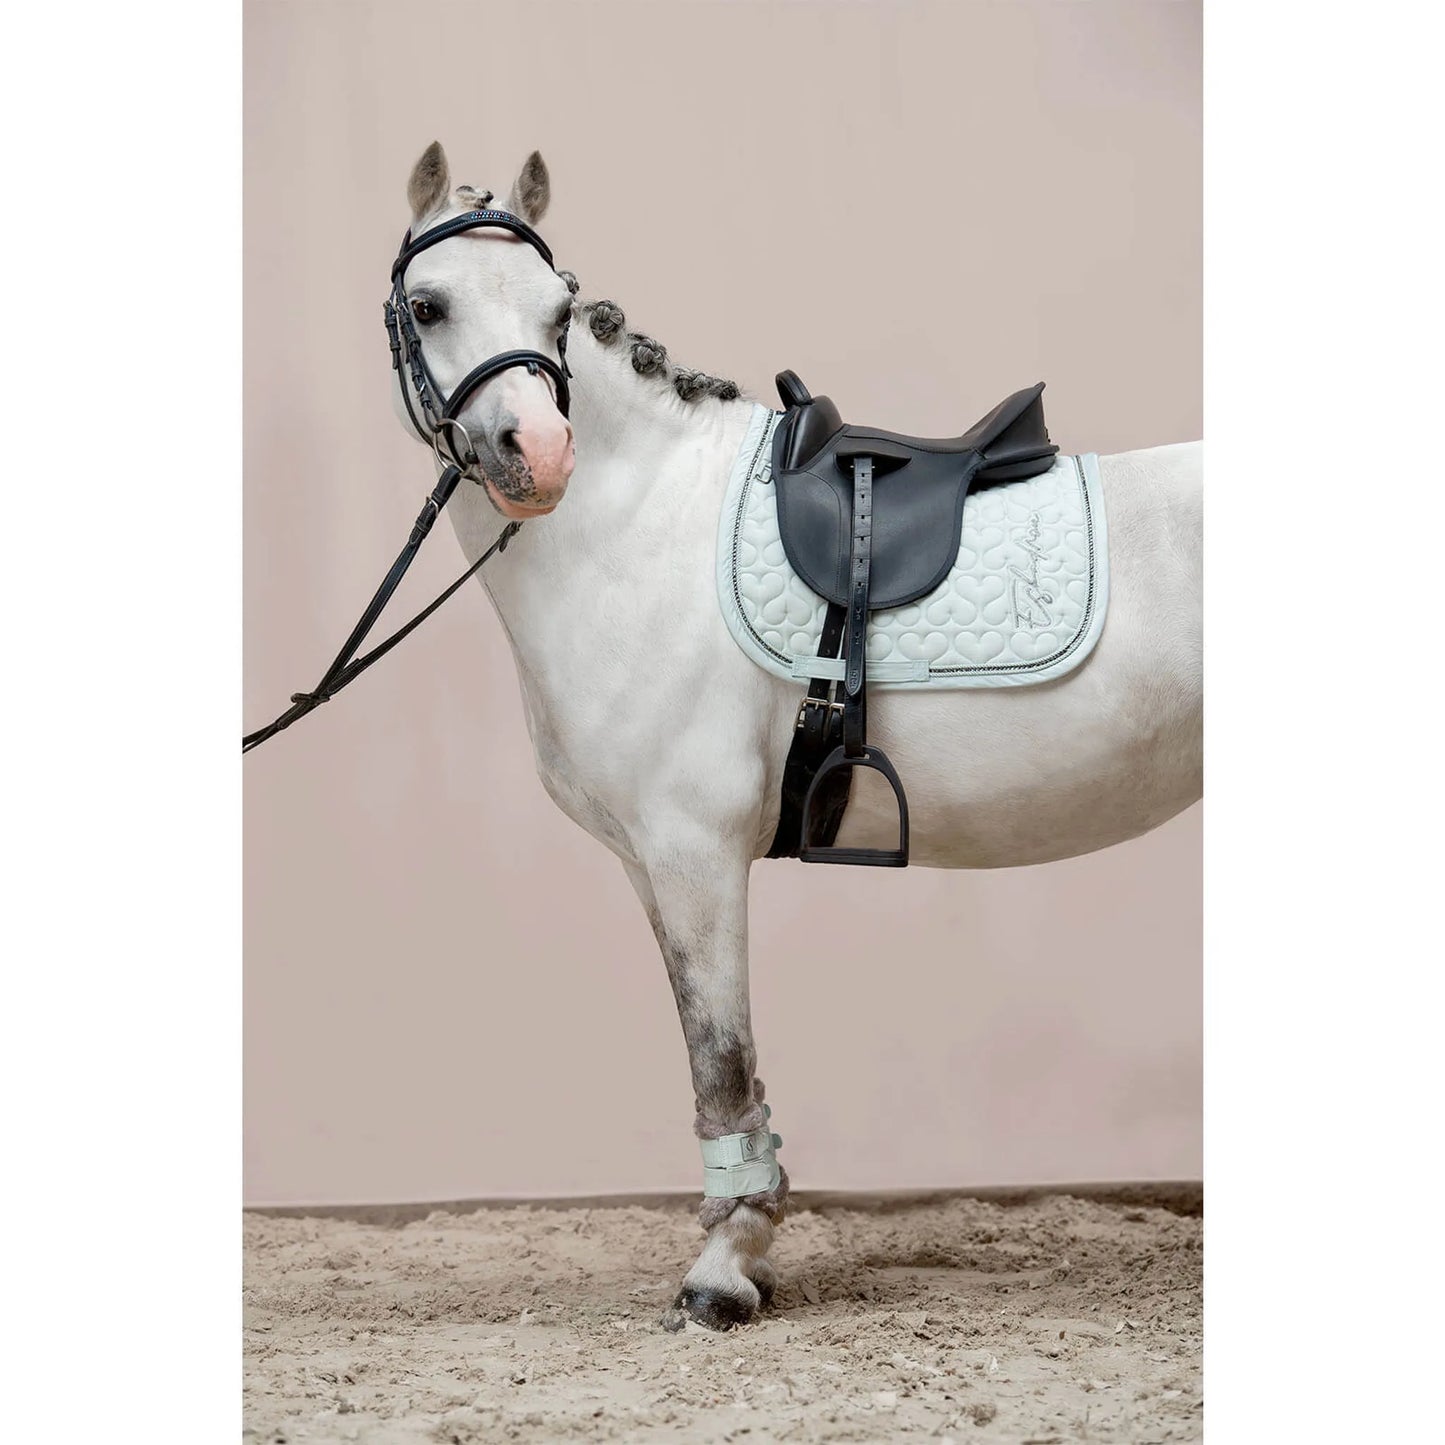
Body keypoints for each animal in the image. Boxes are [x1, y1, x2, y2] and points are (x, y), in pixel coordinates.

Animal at [374, 141, 1201, 1331]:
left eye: (558, 309)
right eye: (430, 303)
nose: (540, 453)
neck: (641, 526)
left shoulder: (694, 852)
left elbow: (720, 1060)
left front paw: (722, 1270)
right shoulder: (653, 864)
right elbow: (717, 1057)